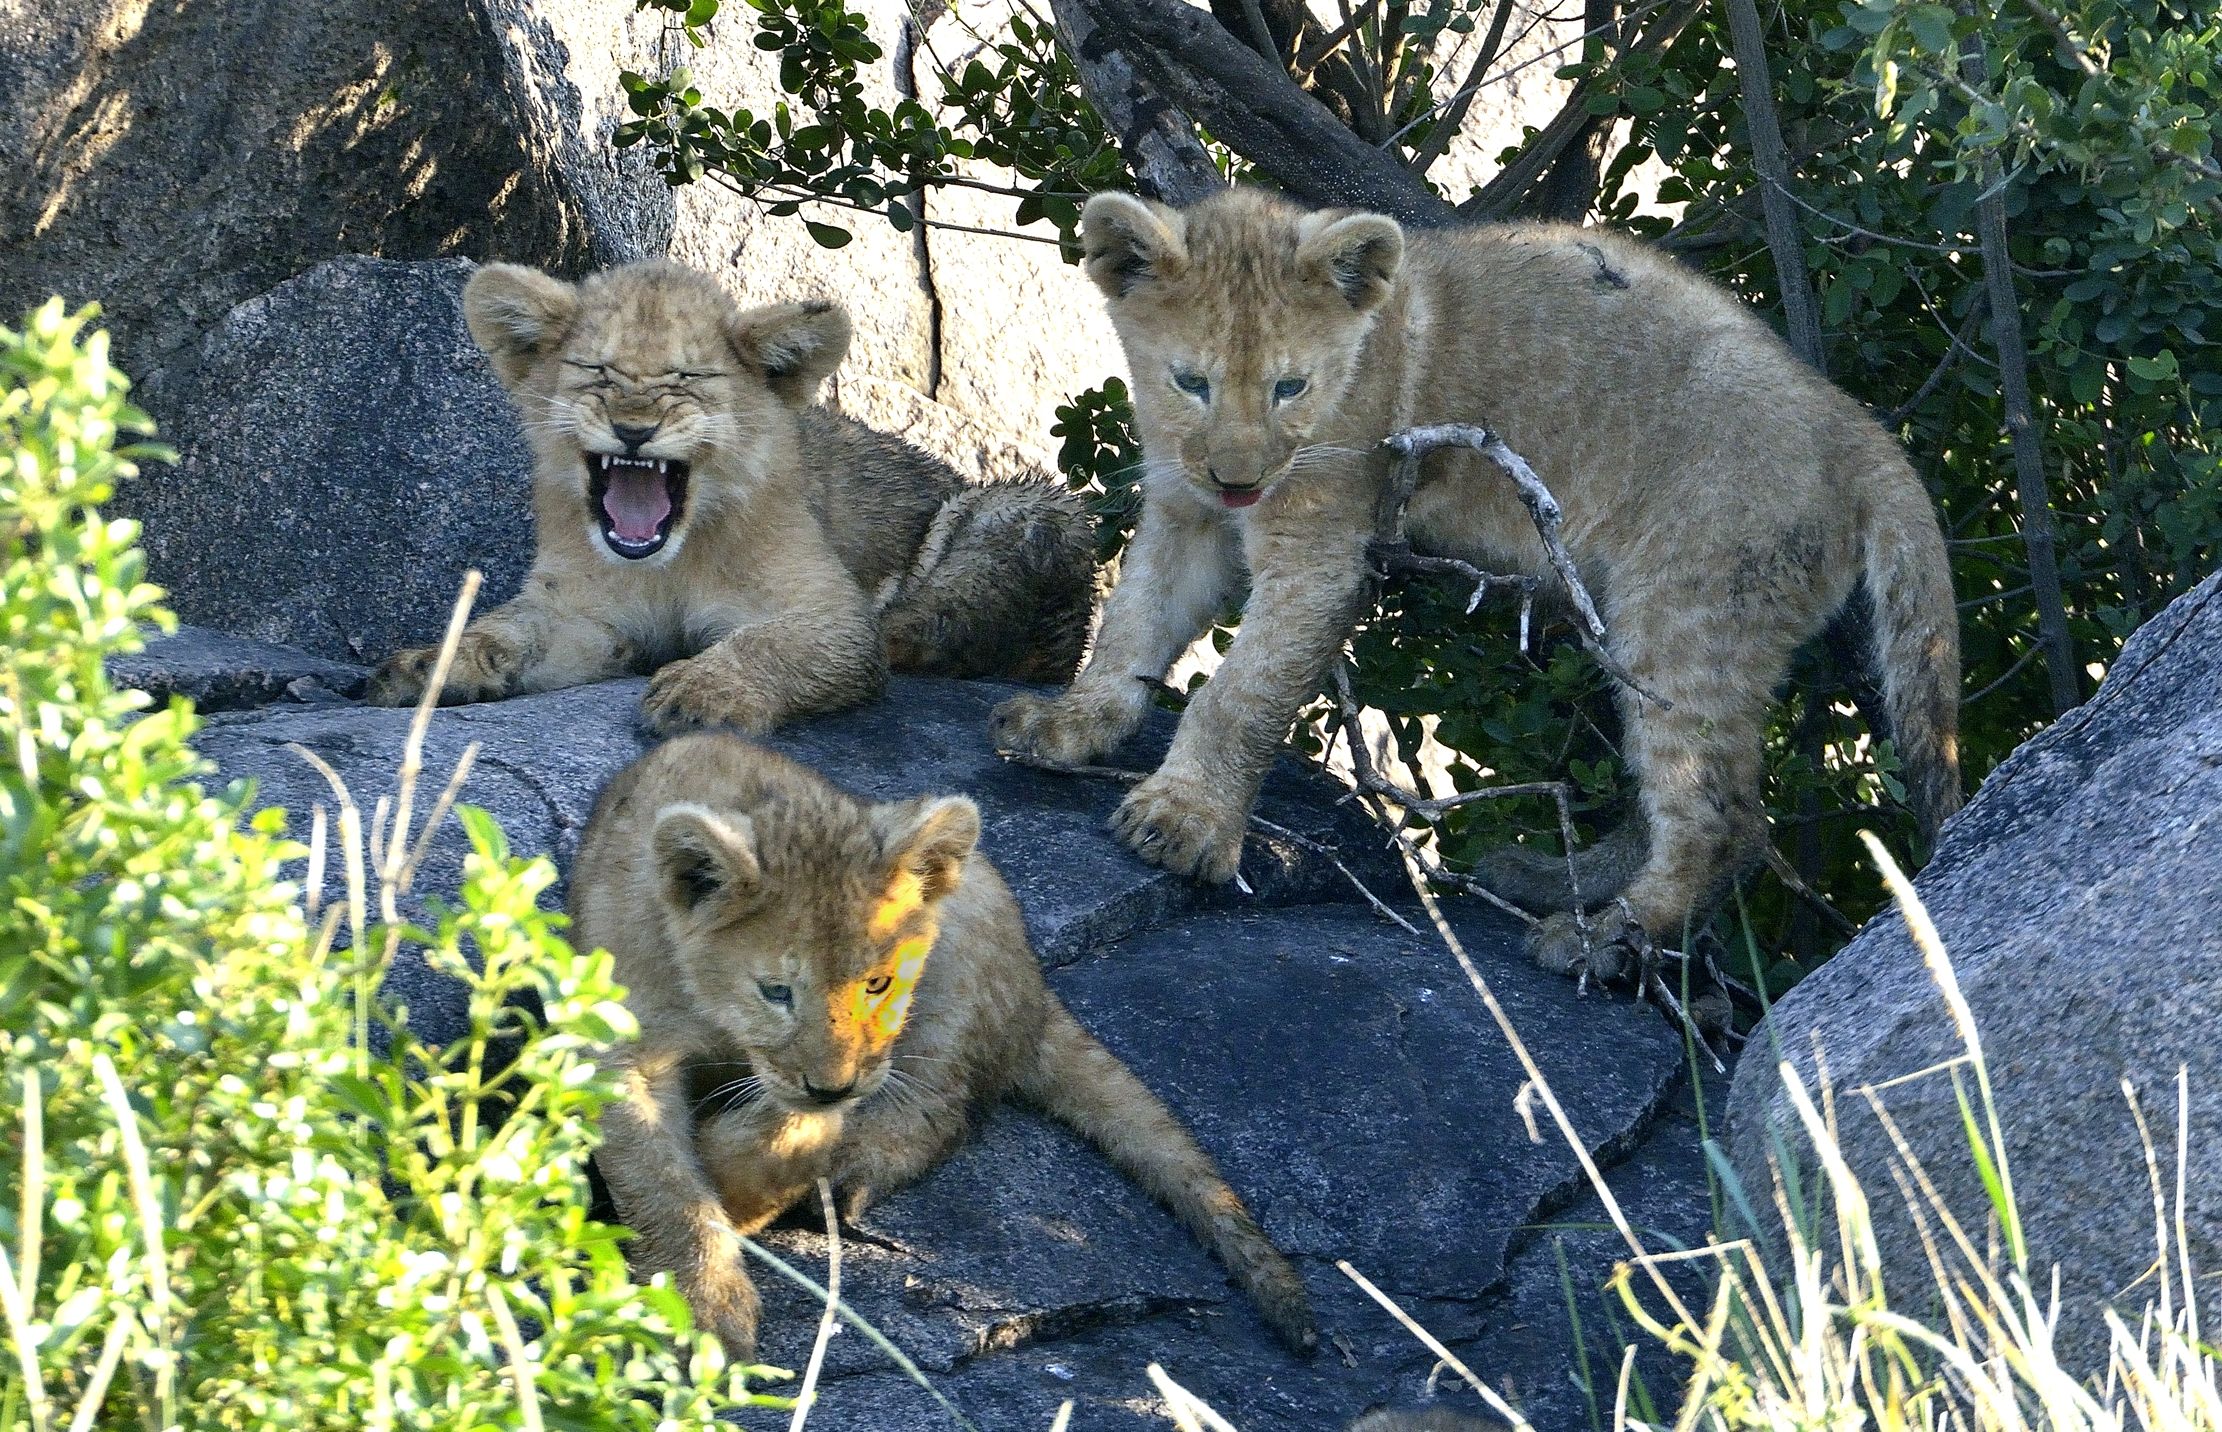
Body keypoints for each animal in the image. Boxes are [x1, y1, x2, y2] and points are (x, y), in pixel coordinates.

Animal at [365, 259, 1093, 732]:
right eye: (598, 372)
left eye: (688, 380)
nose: (634, 429)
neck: (672, 558)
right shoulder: (581, 611)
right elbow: (505, 628)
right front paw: (429, 666)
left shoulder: (829, 612)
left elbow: (778, 642)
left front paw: (701, 689)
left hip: (1033, 510)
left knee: (944, 632)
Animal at [567, 732, 1319, 1362]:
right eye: (777, 990)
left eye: (877, 983)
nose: (834, 1086)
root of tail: (1036, 988)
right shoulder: (619, 1045)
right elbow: (660, 1180)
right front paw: (698, 1309)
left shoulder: (852, 1066)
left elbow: (783, 1135)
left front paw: (738, 1192)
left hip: (965, 933)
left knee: (946, 1108)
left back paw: (847, 1172)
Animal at [992, 188, 1961, 974]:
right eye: (1189, 381)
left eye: (1290, 388)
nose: (1239, 480)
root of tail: (1855, 426)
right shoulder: (1184, 513)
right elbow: (1132, 624)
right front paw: (1070, 724)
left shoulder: (1324, 548)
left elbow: (1240, 694)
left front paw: (1185, 823)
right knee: (1673, 793)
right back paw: (1554, 880)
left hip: (1691, 605)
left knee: (1726, 820)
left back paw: (1605, 938)